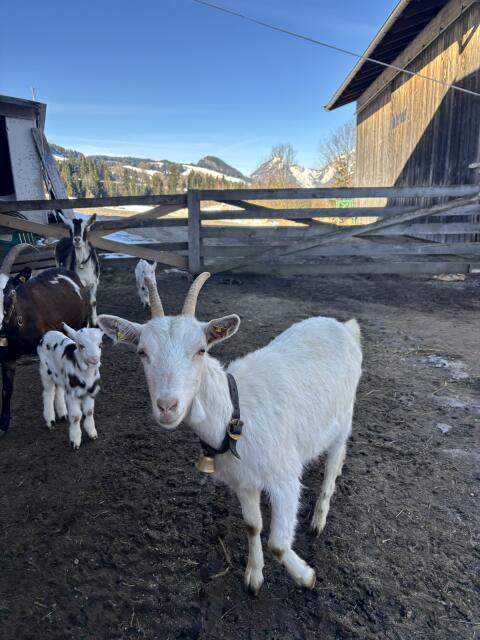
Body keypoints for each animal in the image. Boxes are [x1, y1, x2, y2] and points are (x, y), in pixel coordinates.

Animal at [0, 244, 90, 433]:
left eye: (11, 292)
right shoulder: (7, 355)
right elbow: (7, 389)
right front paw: (3, 424)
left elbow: (52, 384)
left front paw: (54, 416)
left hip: (81, 323)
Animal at [98, 273, 362, 594]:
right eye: (142, 352)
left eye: (201, 350)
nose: (167, 406)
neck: (234, 415)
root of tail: (344, 326)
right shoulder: (243, 482)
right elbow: (252, 526)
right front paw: (254, 575)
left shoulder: (285, 478)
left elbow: (277, 544)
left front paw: (305, 576)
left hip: (343, 415)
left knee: (335, 458)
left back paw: (319, 518)